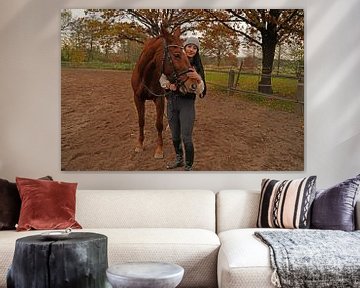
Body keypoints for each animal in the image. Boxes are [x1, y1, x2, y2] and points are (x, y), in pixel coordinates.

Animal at [131, 25, 198, 159]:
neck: (145, 76)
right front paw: (140, 144)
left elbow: (159, 124)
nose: (193, 83)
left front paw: (159, 150)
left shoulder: (159, 99)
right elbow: (141, 121)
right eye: (177, 55)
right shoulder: (138, 98)